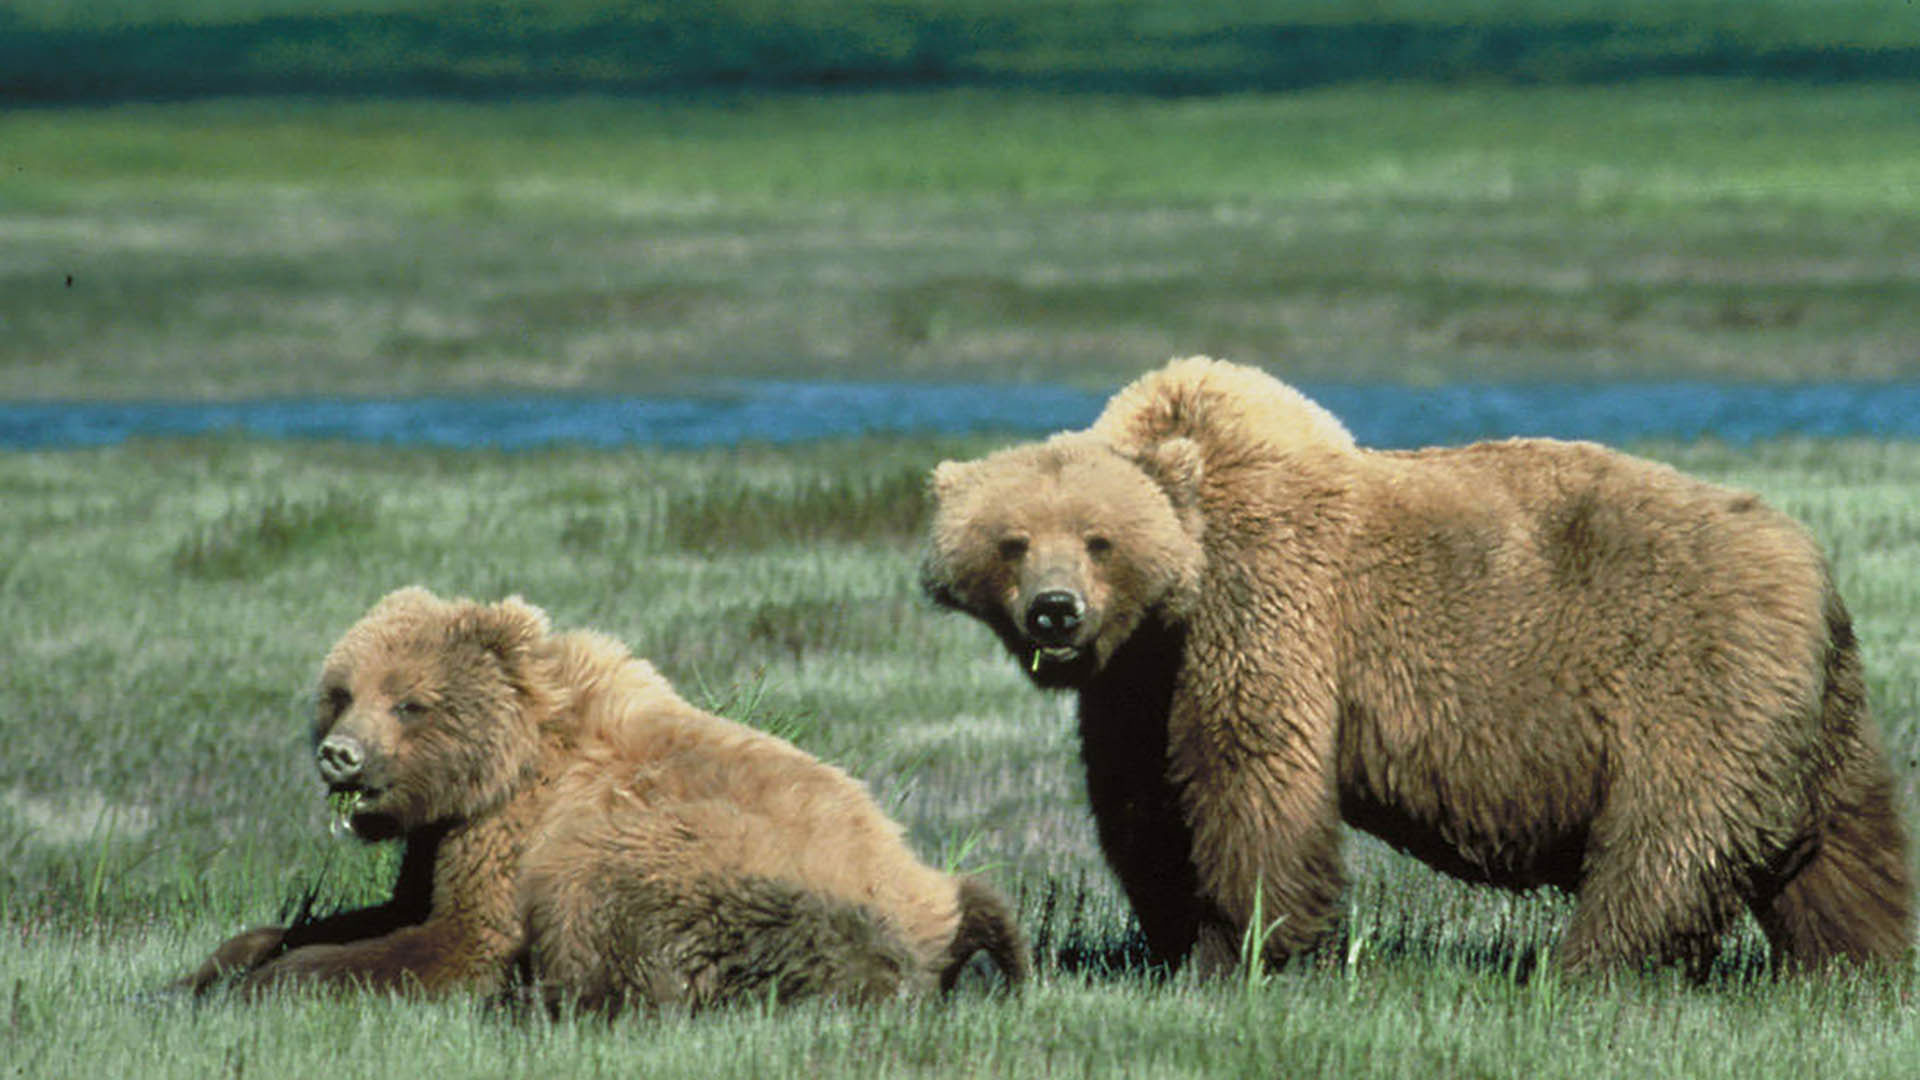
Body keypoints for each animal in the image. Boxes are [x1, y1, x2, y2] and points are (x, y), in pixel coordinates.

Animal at [181, 584, 1029, 1006]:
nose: (340, 755)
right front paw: (216, 965)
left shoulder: (514, 831)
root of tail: (939, 903)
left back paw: (538, 1001)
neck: (505, 764)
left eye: (409, 701)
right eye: (341, 692)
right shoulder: (443, 835)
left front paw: (273, 982)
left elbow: (458, 940)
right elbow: (392, 909)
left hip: (734, 869)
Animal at [921, 355, 1912, 976]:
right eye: (1011, 541)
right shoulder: (1137, 680)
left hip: (1688, 671)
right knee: (1842, 843)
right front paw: (1173, 938)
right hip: (1811, 707)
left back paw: (1584, 968)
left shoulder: (1266, 611)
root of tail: (1809, 563)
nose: (1057, 610)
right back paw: (1858, 964)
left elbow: (1252, 779)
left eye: (1100, 538)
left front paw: (1247, 947)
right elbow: (1142, 805)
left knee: (1669, 839)